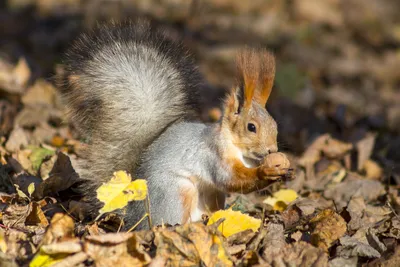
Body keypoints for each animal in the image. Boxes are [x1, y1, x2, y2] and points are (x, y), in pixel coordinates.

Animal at [58, 20, 290, 230]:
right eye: (251, 127)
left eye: (274, 125)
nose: (272, 150)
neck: (234, 145)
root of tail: (135, 217)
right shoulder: (213, 155)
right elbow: (231, 179)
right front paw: (267, 171)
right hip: (179, 191)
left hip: (211, 195)